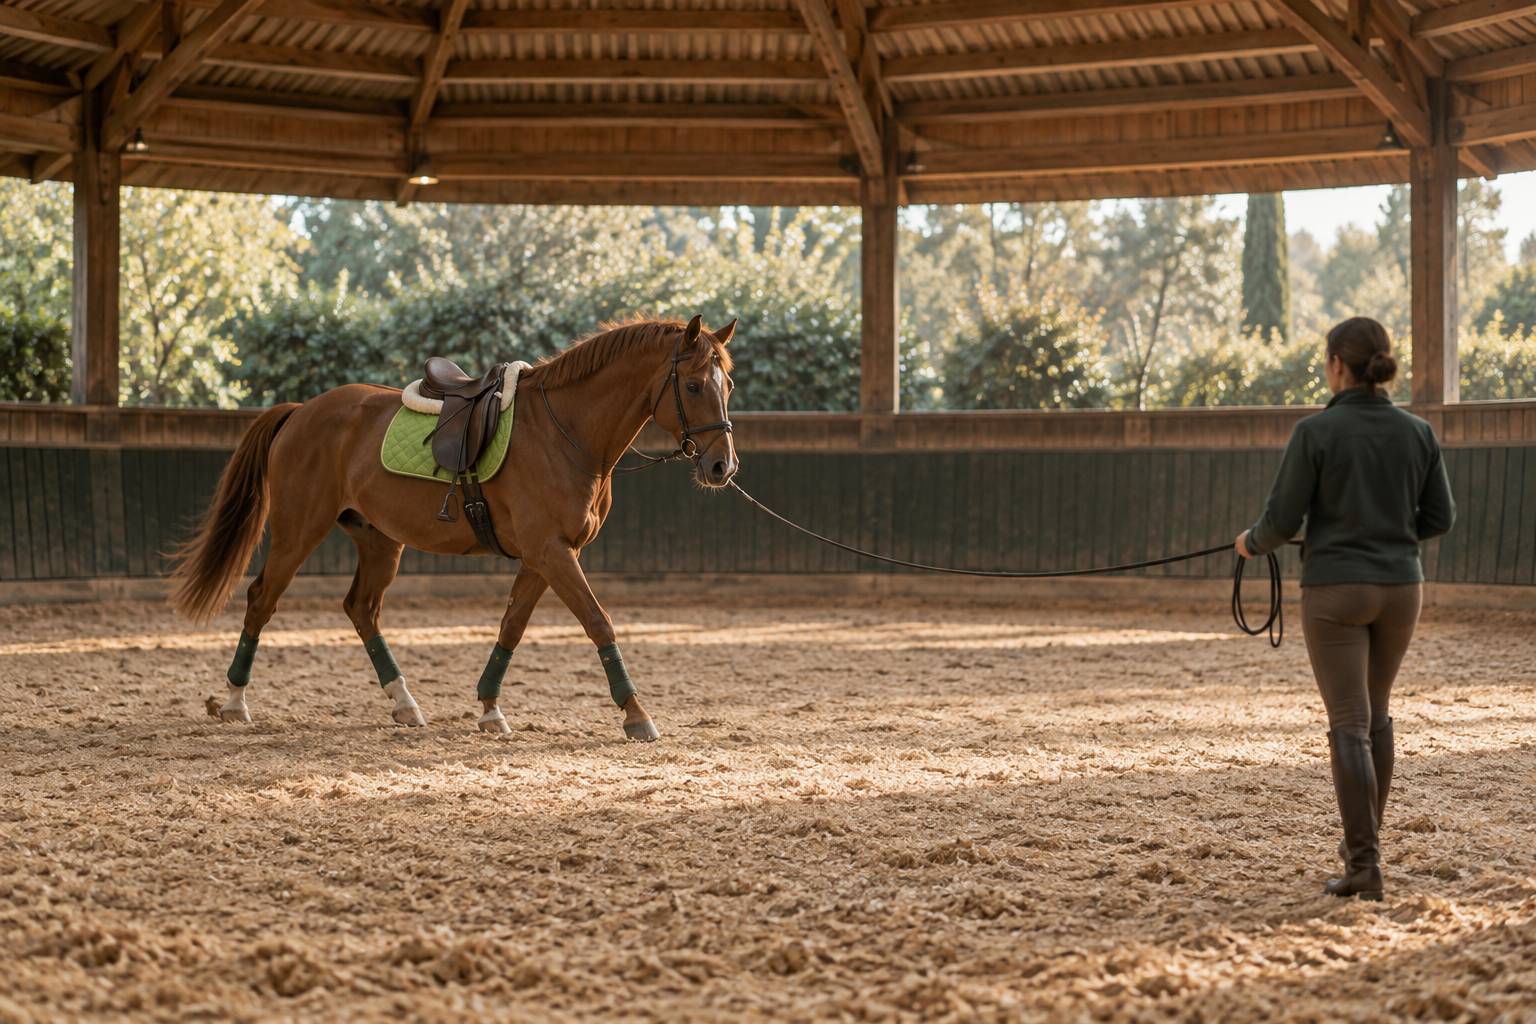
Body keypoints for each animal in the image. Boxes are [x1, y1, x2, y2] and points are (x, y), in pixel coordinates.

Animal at [169, 315, 738, 741]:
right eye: (692, 385)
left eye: (727, 385)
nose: (722, 467)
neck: (565, 432)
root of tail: (302, 411)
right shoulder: (552, 552)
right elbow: (599, 622)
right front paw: (637, 715)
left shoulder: (545, 556)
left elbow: (511, 627)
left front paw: (490, 709)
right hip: (298, 530)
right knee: (262, 599)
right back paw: (235, 703)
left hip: (379, 539)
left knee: (362, 609)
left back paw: (404, 704)